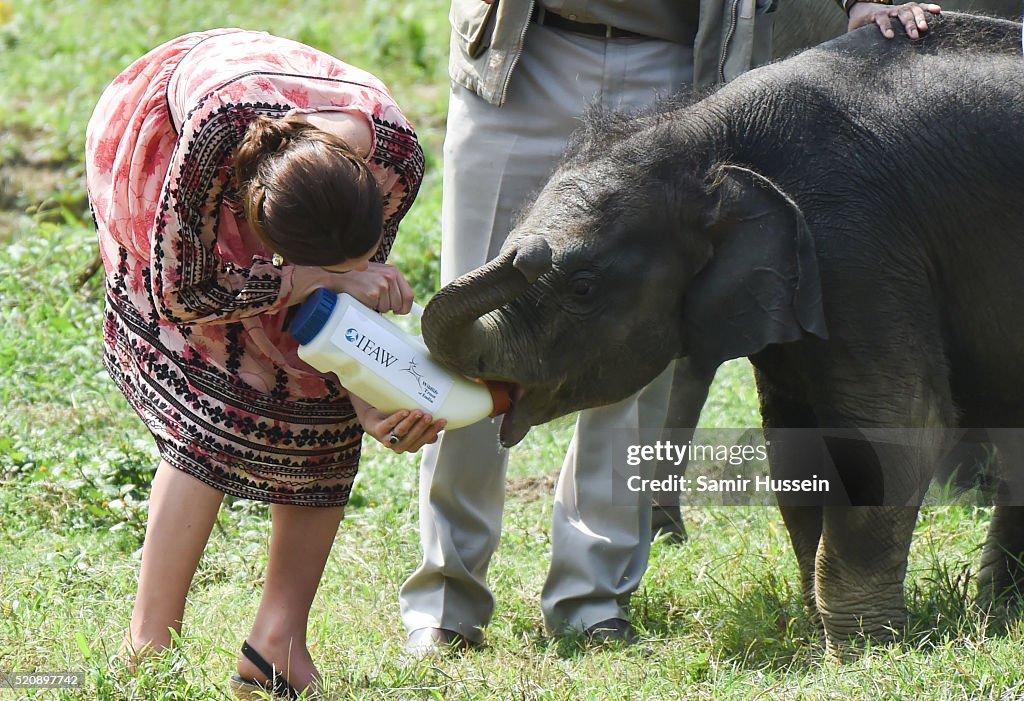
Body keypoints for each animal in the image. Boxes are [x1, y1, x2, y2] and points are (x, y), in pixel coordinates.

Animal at [415, 13, 1024, 650]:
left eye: (582, 287)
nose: (526, 252)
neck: (703, 139)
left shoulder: (860, 248)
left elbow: (898, 428)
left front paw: (863, 651)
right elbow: (794, 446)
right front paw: (825, 635)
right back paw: (997, 612)